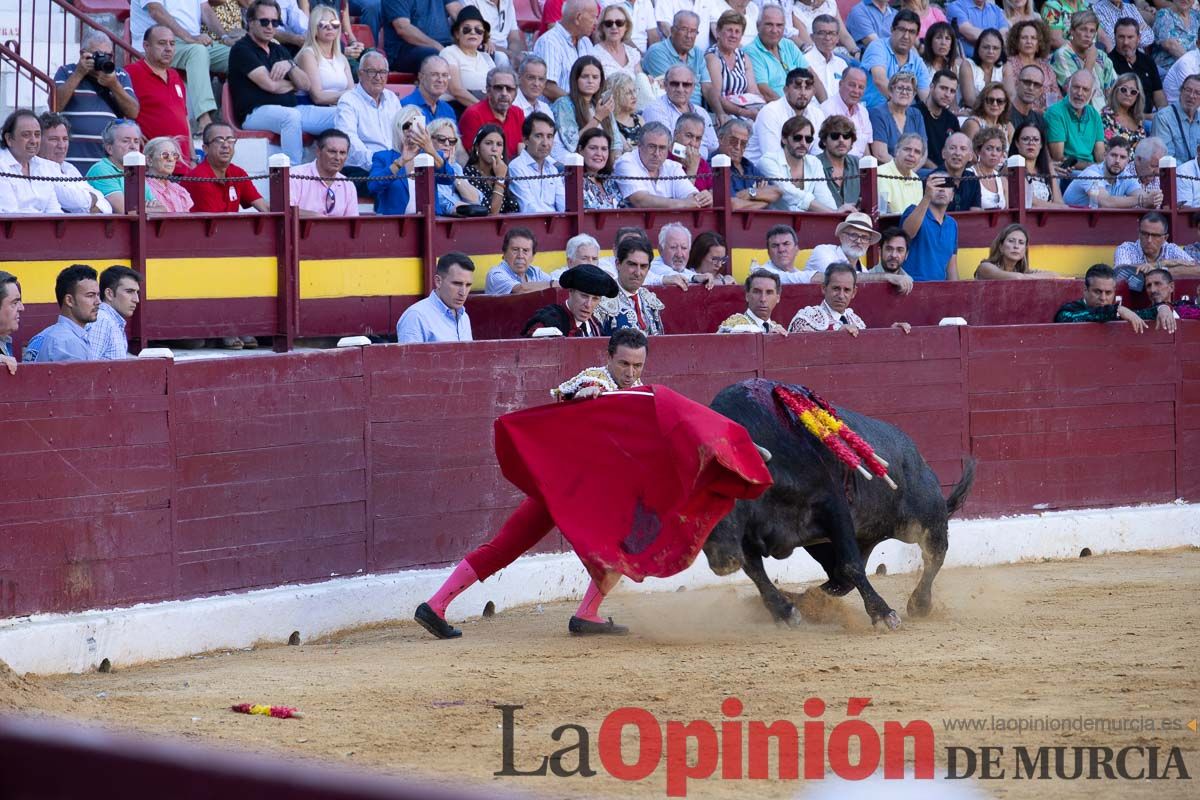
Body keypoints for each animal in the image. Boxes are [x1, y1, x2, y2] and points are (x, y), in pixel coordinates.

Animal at [700, 379, 974, 628]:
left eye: (730, 494)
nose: (722, 562)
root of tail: (917, 456)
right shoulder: (746, 536)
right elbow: (756, 571)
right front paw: (785, 612)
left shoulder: (833, 508)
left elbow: (851, 565)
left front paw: (884, 615)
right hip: (833, 541)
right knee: (839, 579)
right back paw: (807, 600)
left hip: (924, 521)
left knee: (934, 555)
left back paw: (919, 604)